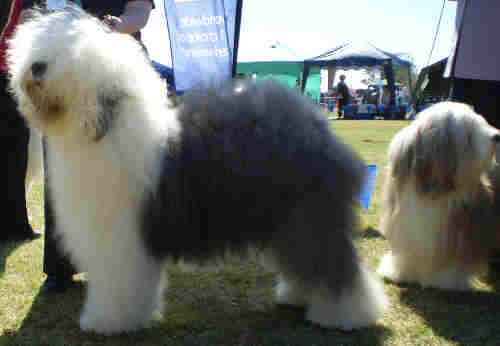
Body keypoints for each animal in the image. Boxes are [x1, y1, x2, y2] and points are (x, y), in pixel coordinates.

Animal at [8, 6, 386, 334]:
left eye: (71, 57)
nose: (36, 67)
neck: (101, 127)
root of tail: (317, 125)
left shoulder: (122, 236)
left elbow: (117, 283)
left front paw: (106, 321)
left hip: (308, 213)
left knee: (333, 266)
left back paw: (345, 315)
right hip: (286, 220)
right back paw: (297, 297)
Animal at [376, 101, 500, 290]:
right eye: (469, 133)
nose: (497, 136)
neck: (432, 188)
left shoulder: (459, 232)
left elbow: (450, 262)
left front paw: (443, 280)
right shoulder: (406, 223)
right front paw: (401, 274)